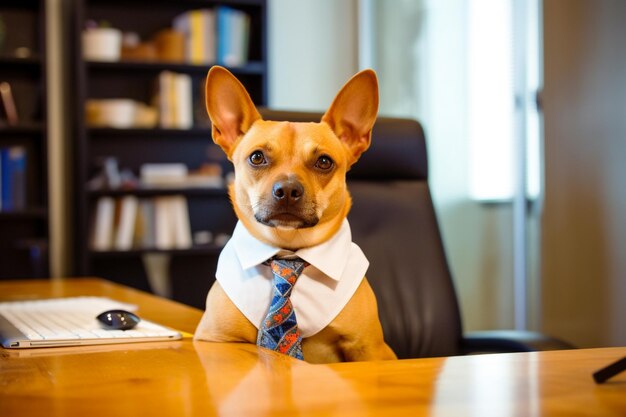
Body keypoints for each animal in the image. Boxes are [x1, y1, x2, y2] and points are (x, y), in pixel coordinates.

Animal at [194, 66, 394, 362]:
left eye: (324, 162)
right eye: (257, 157)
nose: (287, 190)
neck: (288, 253)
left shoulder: (368, 349)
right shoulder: (216, 338)